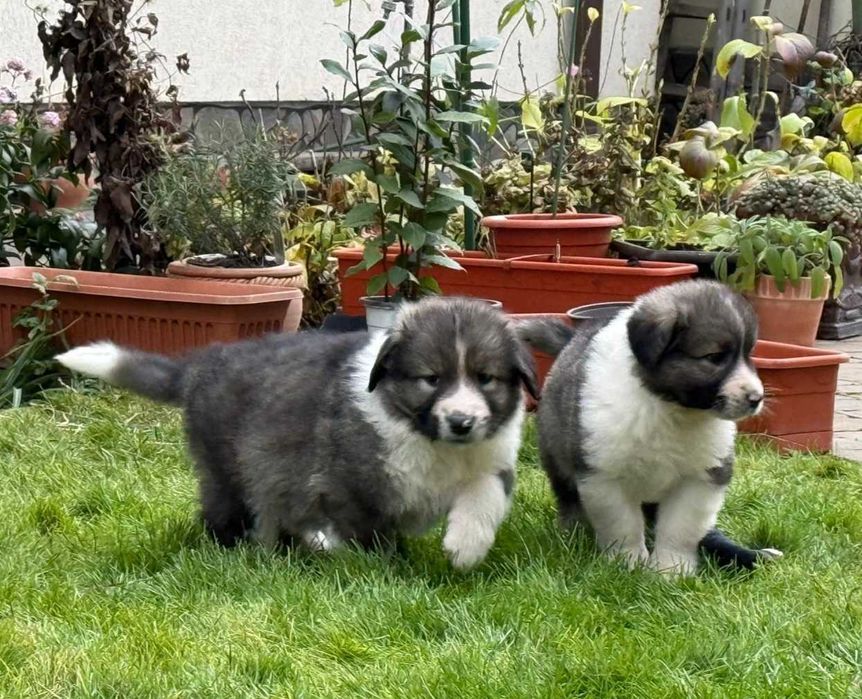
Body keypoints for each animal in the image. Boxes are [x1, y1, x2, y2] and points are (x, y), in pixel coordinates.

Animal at [57, 296, 538, 570]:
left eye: (486, 378)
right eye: (431, 379)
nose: (461, 422)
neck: (427, 437)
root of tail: (199, 367)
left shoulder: (492, 457)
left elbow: (485, 493)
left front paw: (465, 548)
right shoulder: (349, 486)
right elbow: (375, 537)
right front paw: (391, 573)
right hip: (227, 470)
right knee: (225, 514)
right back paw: (234, 556)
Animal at [518, 280, 782, 576]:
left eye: (749, 354)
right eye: (714, 357)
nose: (756, 398)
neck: (670, 408)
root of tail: (571, 339)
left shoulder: (701, 479)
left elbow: (681, 528)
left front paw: (671, 571)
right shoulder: (604, 476)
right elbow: (623, 526)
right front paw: (629, 564)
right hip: (557, 458)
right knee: (568, 500)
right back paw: (571, 536)